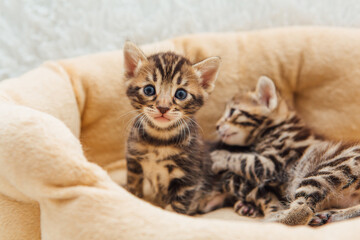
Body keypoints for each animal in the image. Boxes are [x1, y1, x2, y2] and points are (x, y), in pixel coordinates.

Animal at [122, 41, 226, 216]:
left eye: (181, 94)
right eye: (149, 90)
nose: (163, 108)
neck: (158, 139)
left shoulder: (188, 178)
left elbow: (176, 208)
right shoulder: (133, 162)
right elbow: (133, 186)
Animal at [211, 76, 360, 226]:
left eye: (232, 111)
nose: (217, 126)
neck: (277, 126)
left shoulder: (274, 163)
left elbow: (243, 159)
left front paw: (218, 156)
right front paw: (246, 205)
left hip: (324, 172)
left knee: (303, 210)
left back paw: (272, 220)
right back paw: (330, 214)